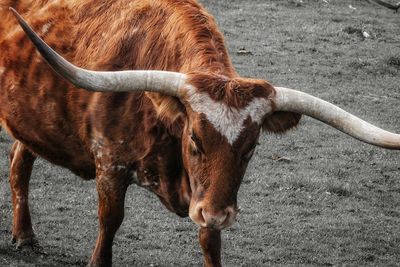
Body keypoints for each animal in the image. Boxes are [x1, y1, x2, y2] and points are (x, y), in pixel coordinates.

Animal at [2, 0, 400, 267]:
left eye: (252, 147)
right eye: (194, 138)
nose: (219, 214)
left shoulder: (208, 198)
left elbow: (210, 238)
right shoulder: (110, 167)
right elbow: (110, 224)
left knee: (20, 160)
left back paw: (25, 236)